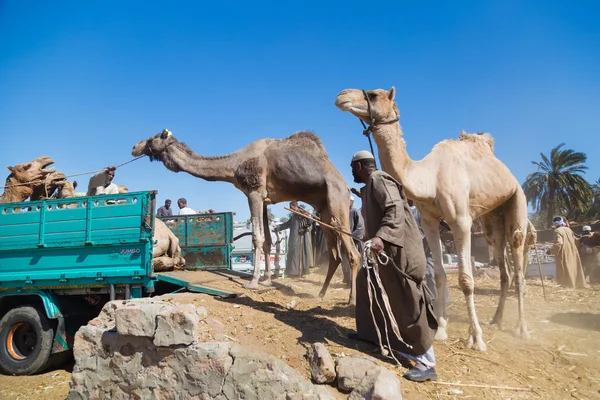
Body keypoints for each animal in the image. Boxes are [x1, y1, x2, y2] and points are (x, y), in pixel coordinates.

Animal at [131, 129, 358, 304]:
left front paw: (253, 281)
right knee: (335, 255)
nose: (134, 146)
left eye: (152, 138)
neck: (235, 164)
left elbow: (257, 238)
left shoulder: (254, 192)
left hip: (337, 200)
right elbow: (267, 240)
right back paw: (321, 294)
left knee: (353, 252)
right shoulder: (265, 200)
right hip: (324, 210)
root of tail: (345, 184)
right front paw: (267, 280)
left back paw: (351, 300)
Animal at [332, 87, 528, 350]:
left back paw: (521, 329)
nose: (342, 95)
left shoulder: (460, 221)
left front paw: (476, 339)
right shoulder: (429, 221)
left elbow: (466, 279)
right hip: (491, 219)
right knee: (503, 268)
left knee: (518, 264)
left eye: (373, 95)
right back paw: (496, 320)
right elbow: (440, 275)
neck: (429, 178)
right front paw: (441, 330)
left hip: (517, 200)